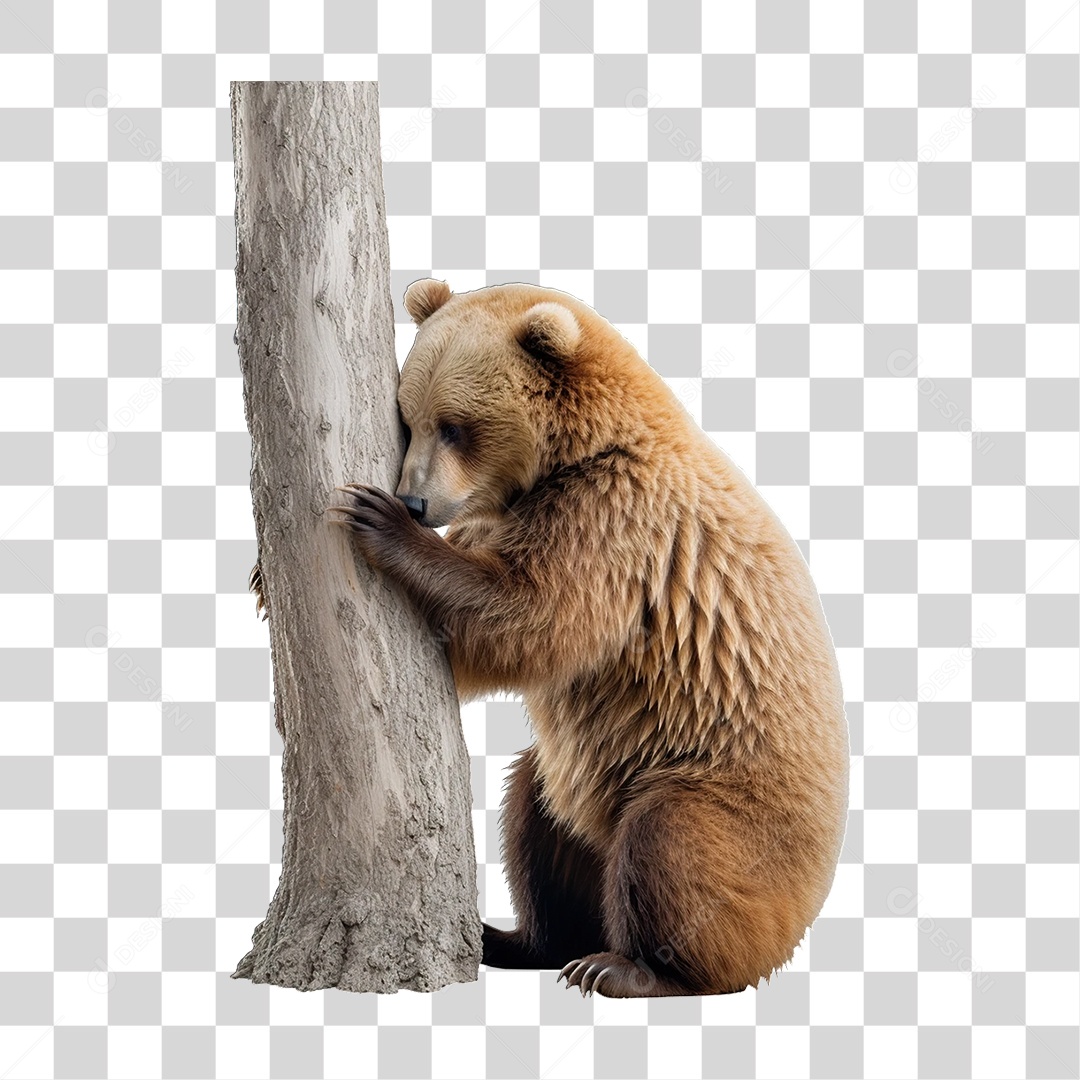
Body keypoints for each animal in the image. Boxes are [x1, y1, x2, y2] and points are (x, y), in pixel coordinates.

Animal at [327, 279, 850, 998]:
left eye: (456, 425)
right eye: (410, 417)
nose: (414, 502)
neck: (574, 453)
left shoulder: (613, 524)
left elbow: (528, 617)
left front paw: (379, 523)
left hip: (727, 794)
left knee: (671, 840)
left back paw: (627, 968)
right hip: (583, 784)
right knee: (533, 814)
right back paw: (516, 938)